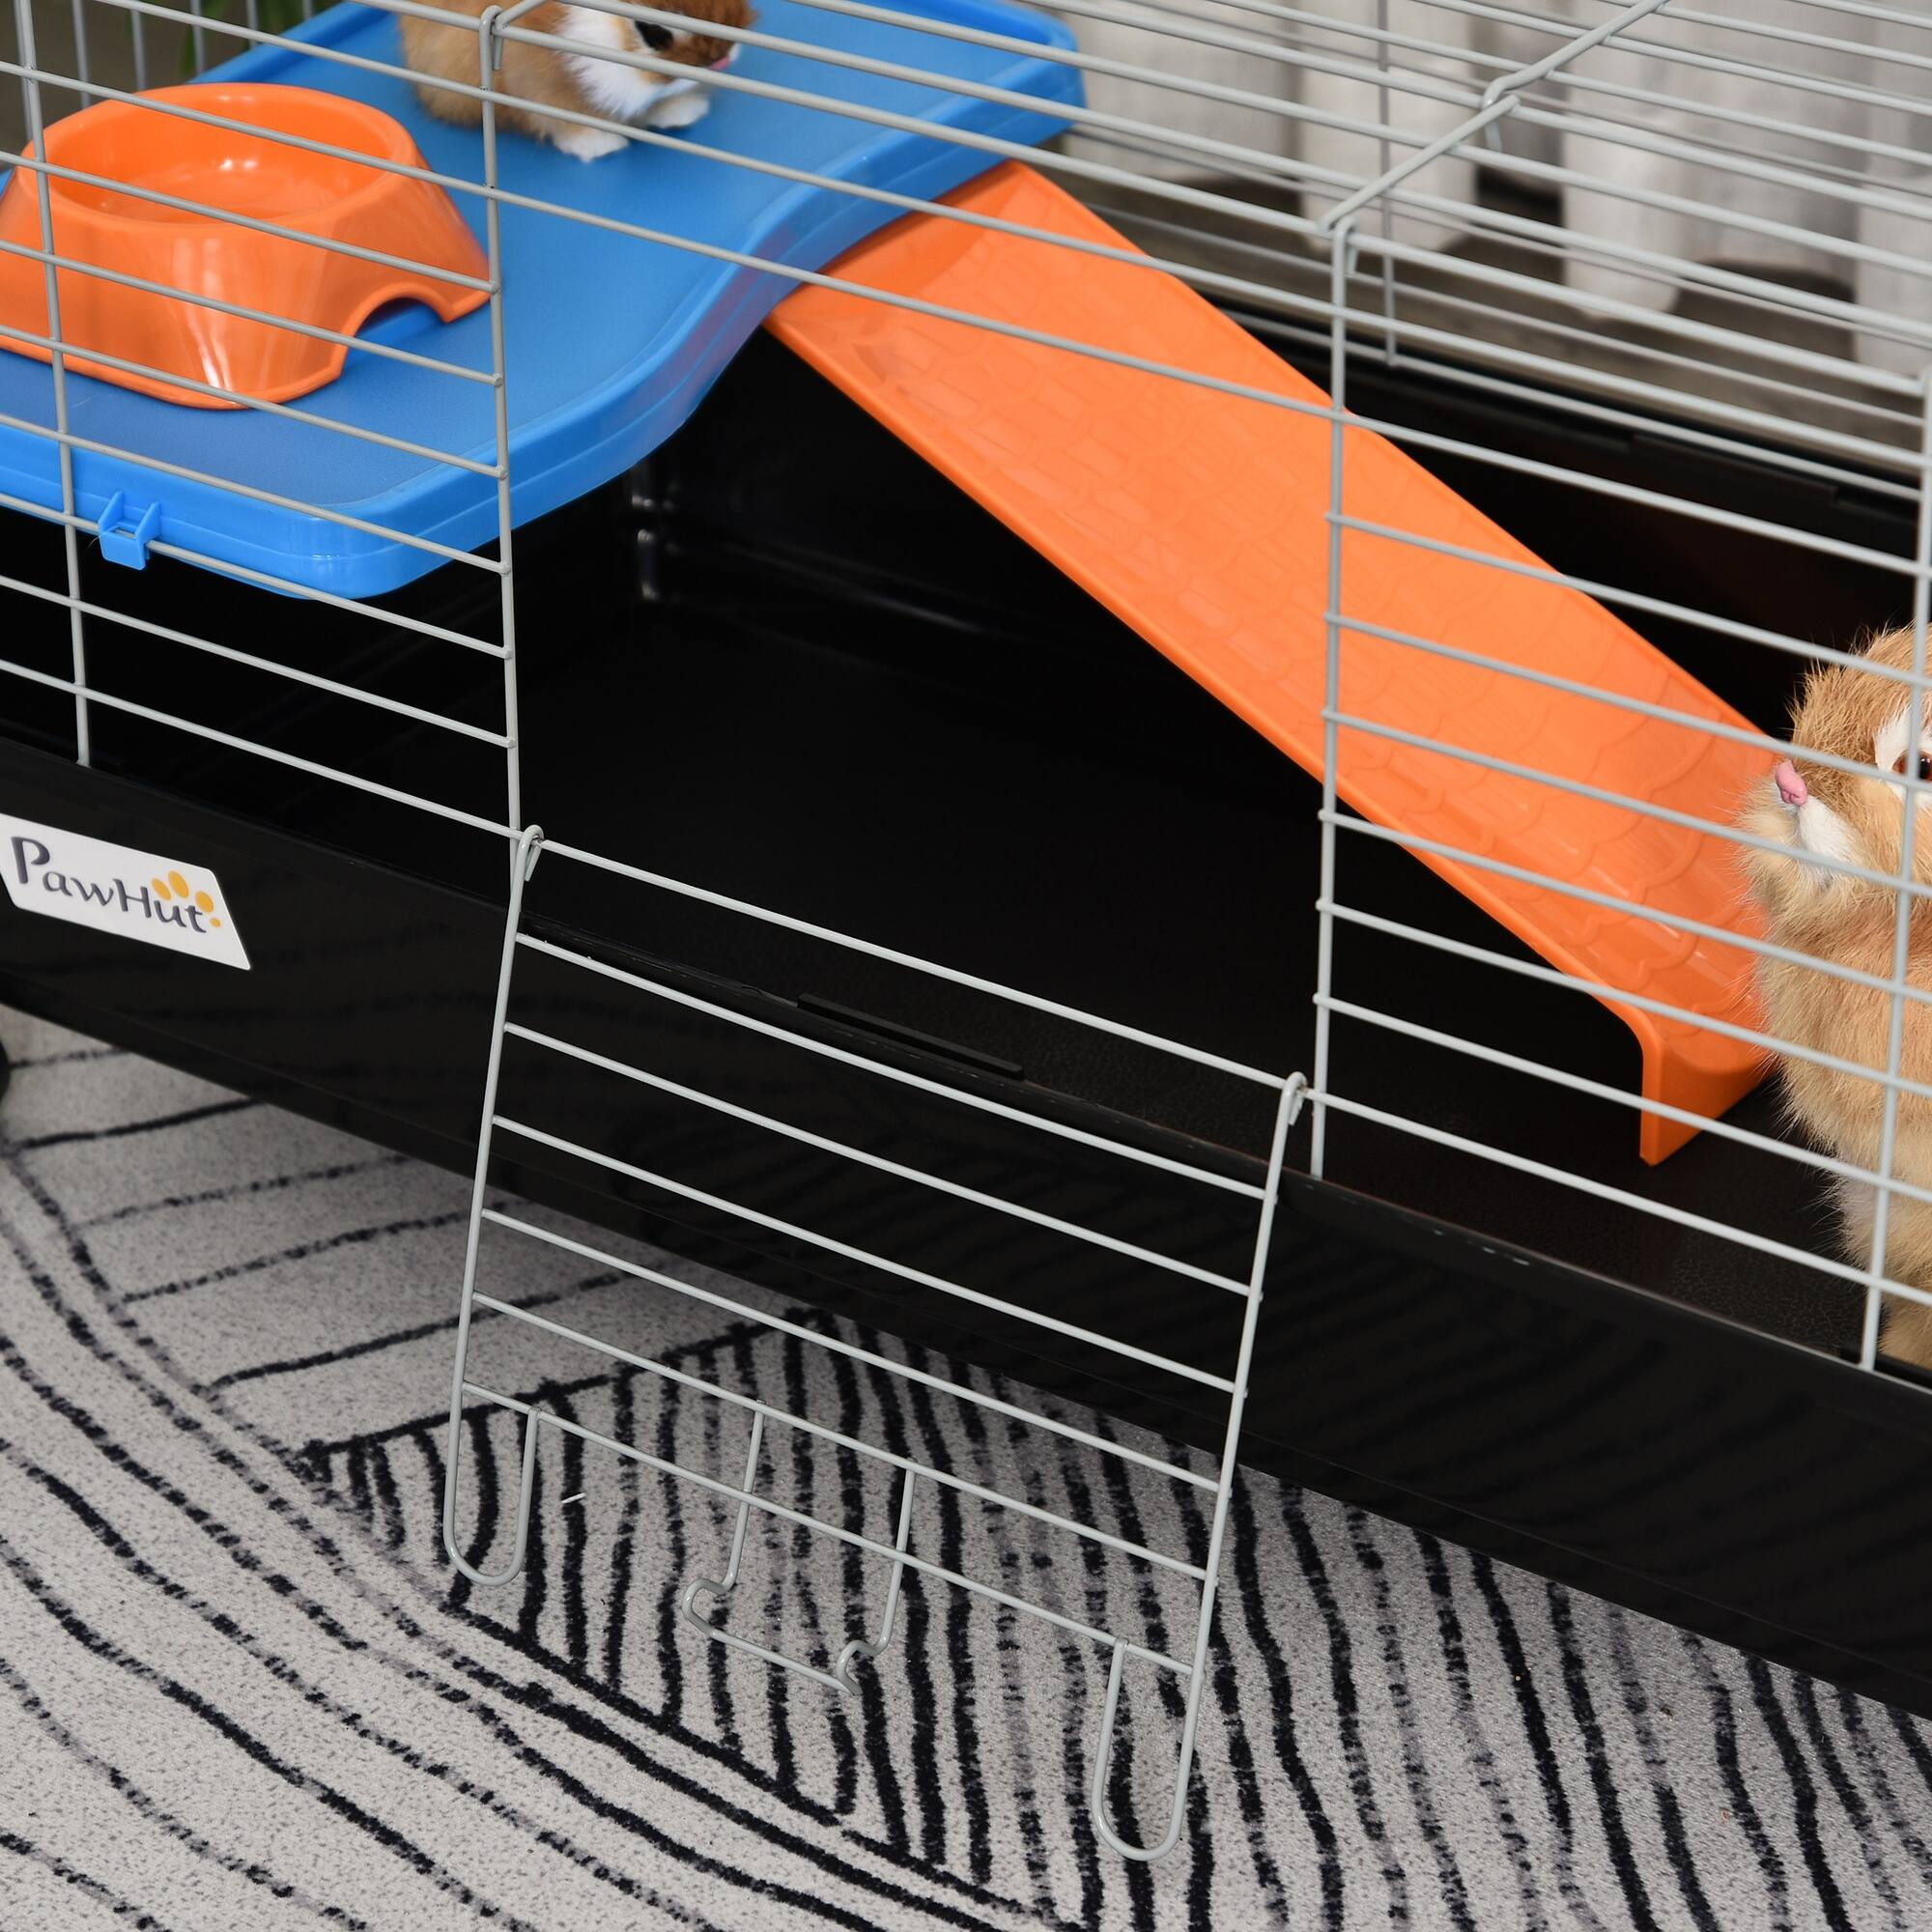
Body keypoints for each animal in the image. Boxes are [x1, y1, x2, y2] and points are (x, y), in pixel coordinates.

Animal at [401, 0, 752, 161]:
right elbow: (568, 121)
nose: (721, 60)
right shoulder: (546, 88)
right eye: (653, 31)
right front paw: (600, 146)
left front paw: (683, 113)